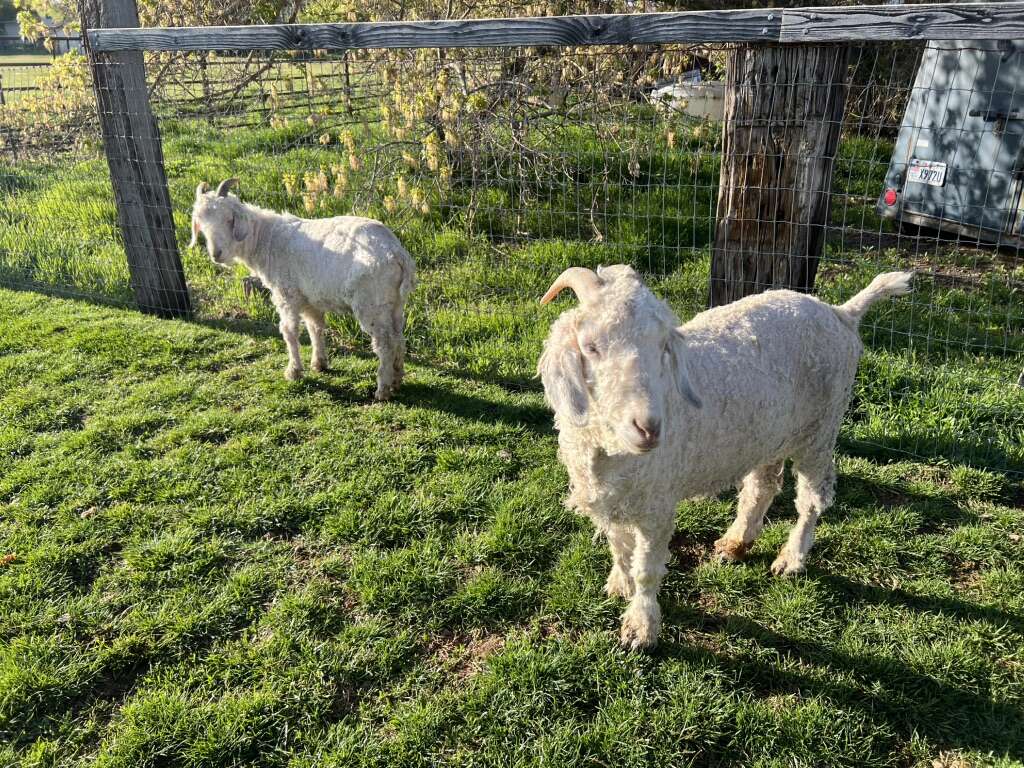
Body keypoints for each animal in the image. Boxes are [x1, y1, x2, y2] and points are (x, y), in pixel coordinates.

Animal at [189, 179, 415, 400]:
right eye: (200, 222)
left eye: (229, 219)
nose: (216, 254)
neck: (267, 239)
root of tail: (396, 253)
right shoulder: (310, 298)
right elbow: (315, 328)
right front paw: (319, 363)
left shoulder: (286, 294)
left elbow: (289, 331)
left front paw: (293, 371)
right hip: (394, 303)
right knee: (398, 337)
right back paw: (397, 379)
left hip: (371, 302)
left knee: (385, 342)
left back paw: (382, 389)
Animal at [537, 265, 913, 649]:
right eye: (591, 347)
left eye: (662, 347)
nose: (649, 428)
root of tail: (841, 313)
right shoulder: (612, 496)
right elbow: (619, 545)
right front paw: (619, 583)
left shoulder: (657, 502)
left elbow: (646, 568)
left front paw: (640, 627)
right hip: (769, 433)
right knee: (762, 486)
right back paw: (736, 542)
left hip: (820, 428)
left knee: (811, 498)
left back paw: (791, 559)